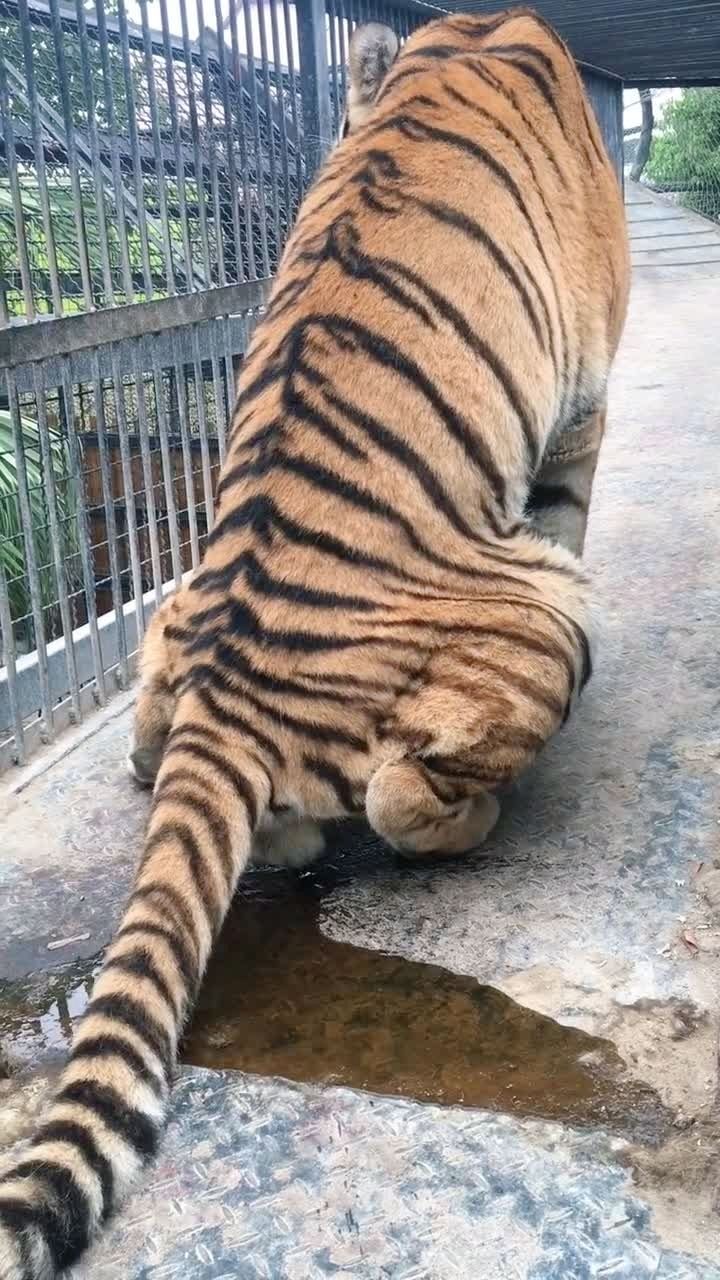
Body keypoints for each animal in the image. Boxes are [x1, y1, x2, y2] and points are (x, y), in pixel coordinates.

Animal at [0, 8, 629, 1276]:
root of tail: (227, 685)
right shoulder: (581, 423)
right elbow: (574, 512)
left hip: (175, 617)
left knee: (167, 749)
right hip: (548, 612)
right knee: (394, 797)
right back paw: (472, 817)